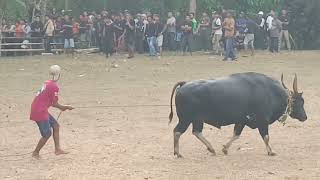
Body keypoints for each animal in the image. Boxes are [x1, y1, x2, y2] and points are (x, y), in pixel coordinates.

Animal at [169, 72, 306, 157]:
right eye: (300, 101)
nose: (305, 117)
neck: (270, 92)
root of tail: (185, 84)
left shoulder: (241, 121)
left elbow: (236, 135)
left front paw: (225, 148)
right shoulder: (262, 122)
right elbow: (266, 137)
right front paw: (271, 151)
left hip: (196, 120)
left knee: (196, 132)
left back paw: (211, 148)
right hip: (186, 119)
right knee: (177, 131)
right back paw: (178, 153)